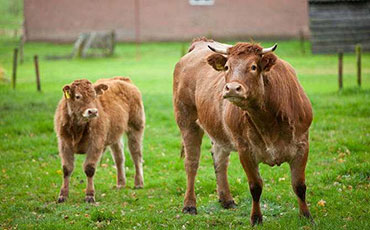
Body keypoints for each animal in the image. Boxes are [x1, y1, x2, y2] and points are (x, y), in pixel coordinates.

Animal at [173, 38, 312, 226]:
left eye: (253, 66)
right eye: (227, 67)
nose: (231, 88)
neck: (268, 121)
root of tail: (200, 43)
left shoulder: (302, 145)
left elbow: (299, 185)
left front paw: (306, 217)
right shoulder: (245, 149)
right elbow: (255, 186)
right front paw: (256, 218)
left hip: (219, 131)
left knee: (220, 160)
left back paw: (226, 200)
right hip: (187, 121)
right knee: (192, 163)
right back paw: (189, 205)